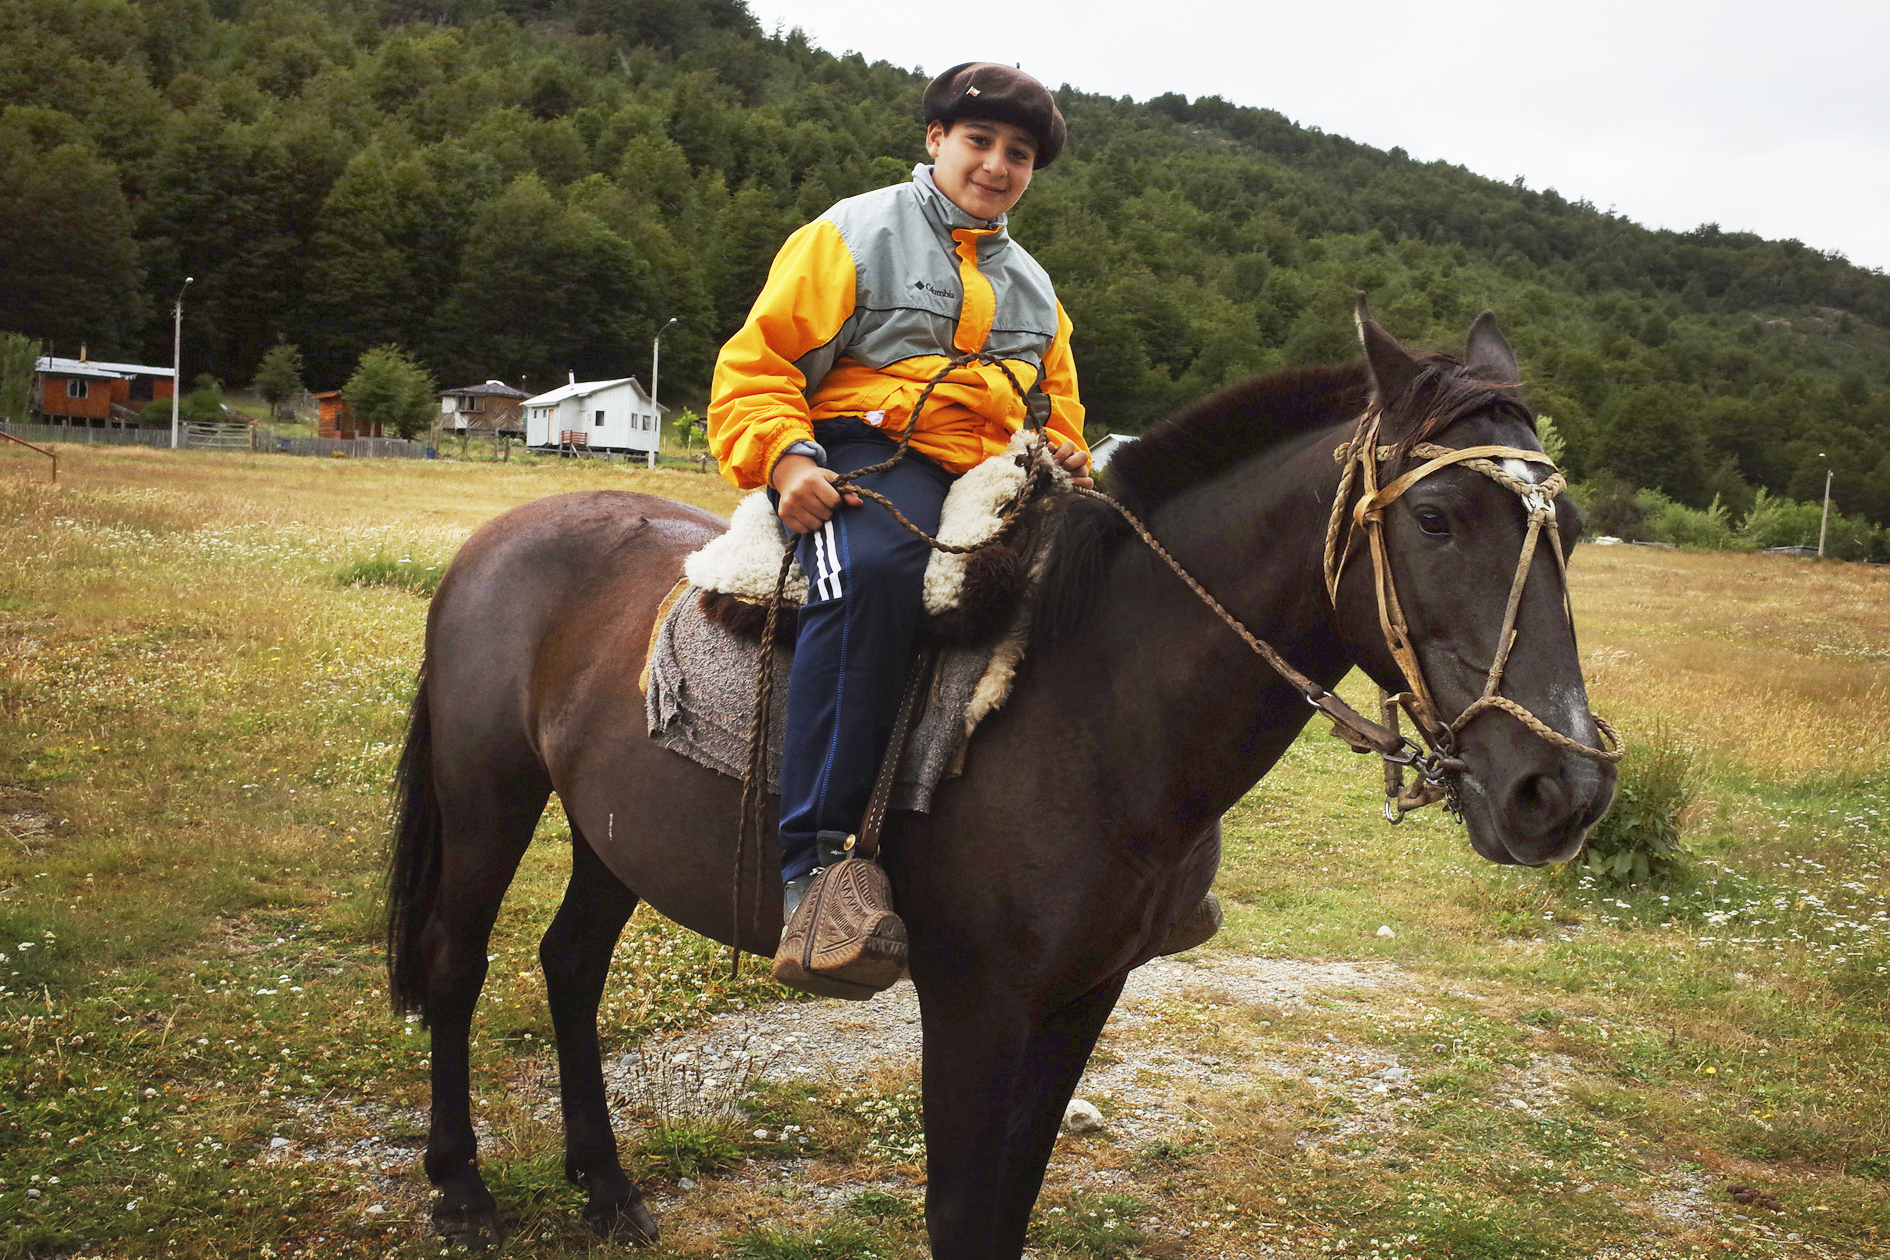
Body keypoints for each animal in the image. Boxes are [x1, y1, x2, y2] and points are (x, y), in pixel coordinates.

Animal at [383, 306, 1617, 1256]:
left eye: (1569, 528)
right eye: (1435, 517)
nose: (1561, 791)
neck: (1095, 711)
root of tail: (501, 535)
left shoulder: (1084, 995)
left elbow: (1013, 1202)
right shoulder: (975, 1003)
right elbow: (962, 1214)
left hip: (611, 829)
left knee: (570, 965)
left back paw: (604, 1186)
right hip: (490, 799)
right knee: (457, 965)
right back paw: (463, 1191)